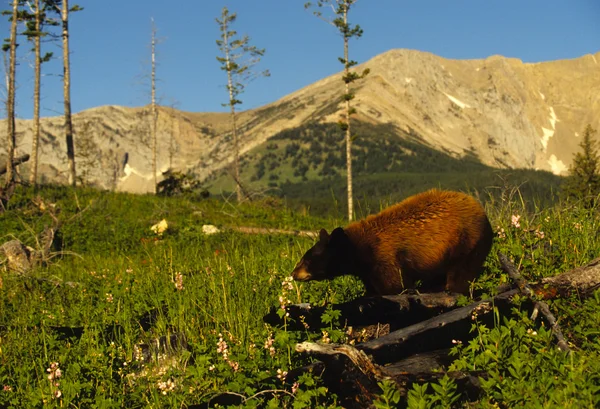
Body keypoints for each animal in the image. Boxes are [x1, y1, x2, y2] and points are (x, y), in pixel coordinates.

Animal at [290, 190, 492, 294]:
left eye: (307, 259)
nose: (293, 273)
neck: (357, 250)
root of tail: (481, 209)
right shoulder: (368, 271)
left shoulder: (384, 258)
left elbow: (394, 286)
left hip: (466, 243)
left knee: (461, 274)